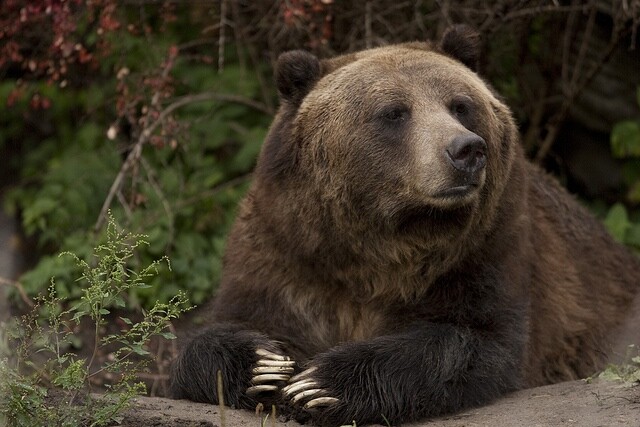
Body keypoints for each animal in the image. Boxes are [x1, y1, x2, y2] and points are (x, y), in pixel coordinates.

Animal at [169, 25, 640, 426]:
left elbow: (475, 340)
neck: (383, 242)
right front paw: (263, 366)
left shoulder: (490, 245)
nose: (466, 149)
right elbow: (222, 329)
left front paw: (320, 385)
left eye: (460, 104)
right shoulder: (286, 251)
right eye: (394, 112)